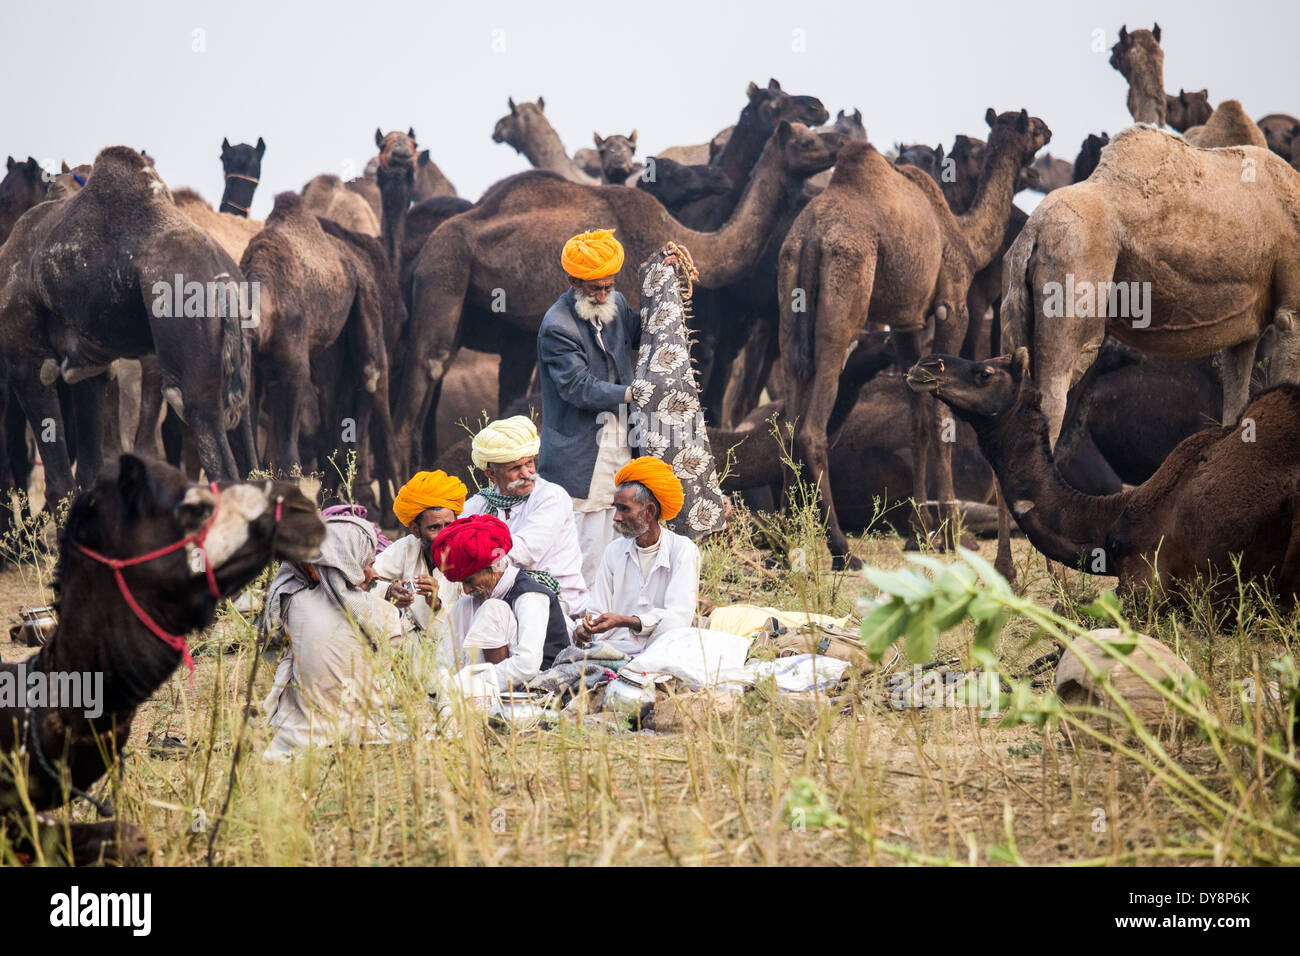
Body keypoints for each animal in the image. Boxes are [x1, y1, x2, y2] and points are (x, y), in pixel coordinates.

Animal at [780, 107, 1045, 564]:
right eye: (1030, 126)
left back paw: (785, 539)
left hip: (787, 292)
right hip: (842, 307)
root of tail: (812, 237)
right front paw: (952, 533)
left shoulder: (906, 325)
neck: (964, 237)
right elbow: (941, 418)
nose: (1048, 130)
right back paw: (841, 548)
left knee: (787, 422)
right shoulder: (951, 306)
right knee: (811, 429)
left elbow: (917, 420)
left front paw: (919, 532)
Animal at [998, 125, 1294, 450]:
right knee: (1056, 383)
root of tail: (1032, 231)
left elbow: (1236, 388)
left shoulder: (1244, 331)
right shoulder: (1291, 304)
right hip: (1073, 264)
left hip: (1015, 285)